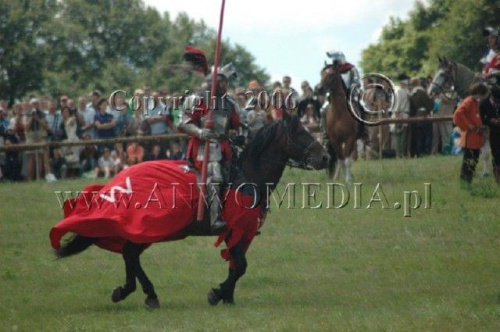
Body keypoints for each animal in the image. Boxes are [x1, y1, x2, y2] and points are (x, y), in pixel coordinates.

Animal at [53, 112, 328, 308]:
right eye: (300, 132)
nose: (325, 157)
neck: (246, 175)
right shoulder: (234, 229)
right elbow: (240, 265)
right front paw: (217, 293)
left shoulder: (243, 232)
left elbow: (235, 265)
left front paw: (227, 297)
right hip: (147, 227)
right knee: (130, 254)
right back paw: (136, 292)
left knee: (130, 254)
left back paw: (141, 293)